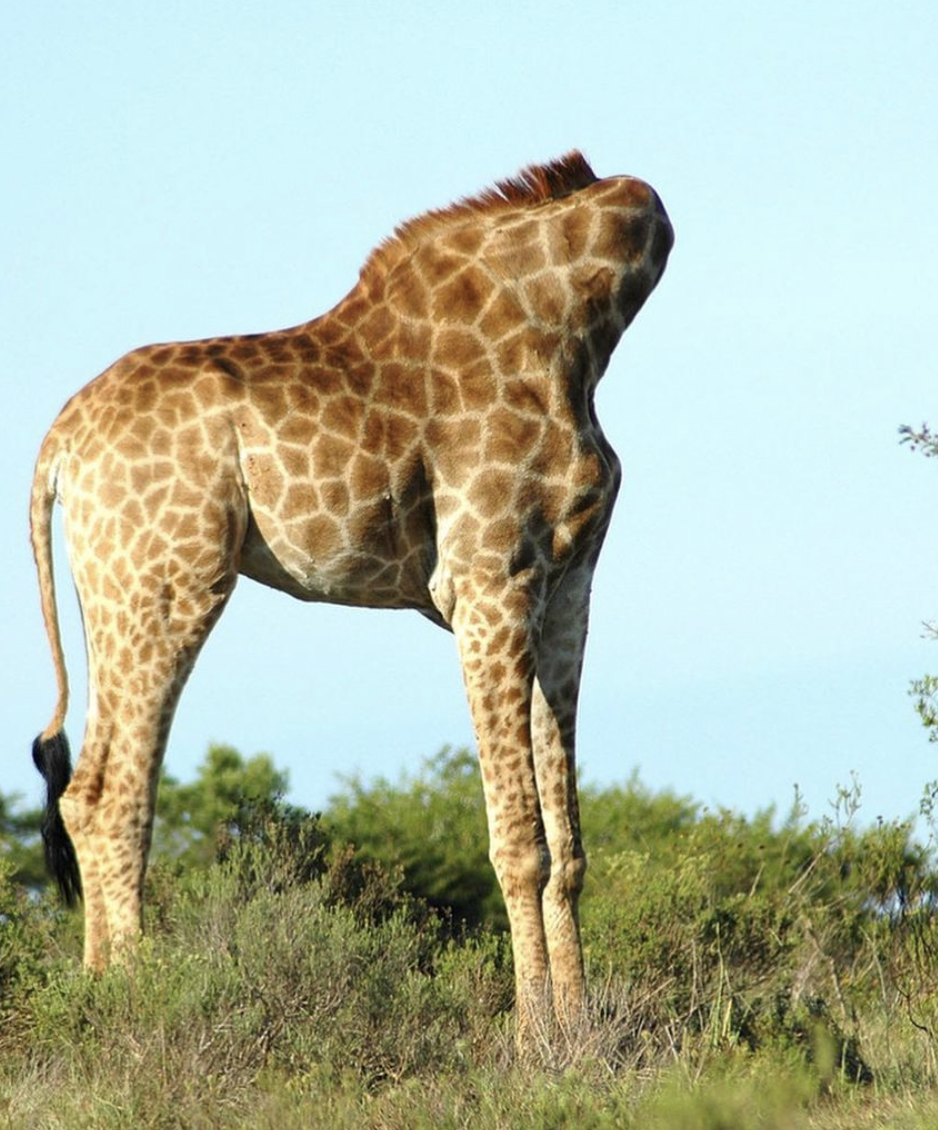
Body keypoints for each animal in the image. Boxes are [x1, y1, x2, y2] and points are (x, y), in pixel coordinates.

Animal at [31, 152, 678, 1039]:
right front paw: (530, 1037)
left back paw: (92, 997)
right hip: (171, 579)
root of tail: (60, 442)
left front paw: (580, 1034)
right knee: (117, 792)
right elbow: (519, 841)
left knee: (86, 786)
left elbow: (570, 847)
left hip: (112, 589)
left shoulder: (569, 588)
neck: (578, 331)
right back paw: (138, 1002)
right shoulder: (485, 579)